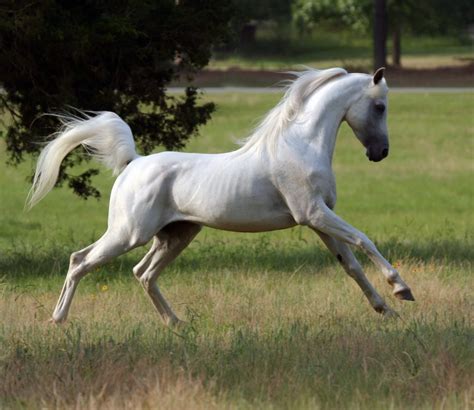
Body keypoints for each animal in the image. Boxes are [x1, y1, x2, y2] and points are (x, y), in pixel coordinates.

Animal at [28, 67, 414, 326]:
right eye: (380, 106)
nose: (380, 152)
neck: (300, 146)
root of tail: (132, 163)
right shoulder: (314, 214)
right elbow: (363, 240)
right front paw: (402, 289)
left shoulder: (319, 220)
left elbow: (350, 265)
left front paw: (386, 309)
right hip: (129, 233)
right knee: (80, 261)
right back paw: (58, 320)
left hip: (176, 234)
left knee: (144, 273)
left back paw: (176, 323)